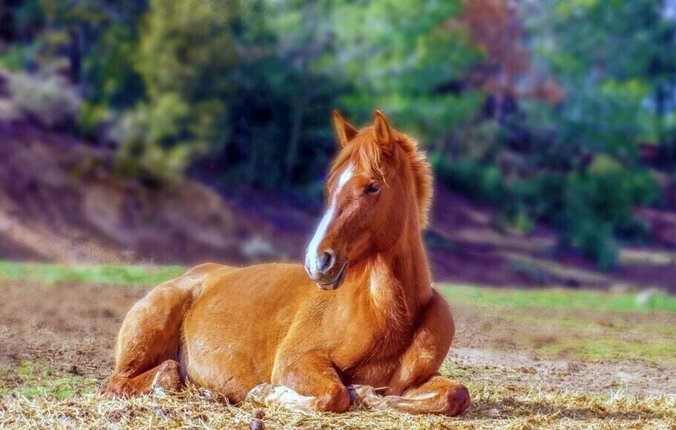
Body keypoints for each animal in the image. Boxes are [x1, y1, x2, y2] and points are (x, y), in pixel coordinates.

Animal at [105, 111, 470, 416]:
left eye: (372, 186)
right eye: (331, 185)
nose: (318, 260)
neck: (388, 313)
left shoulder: (416, 380)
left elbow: (455, 394)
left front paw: (369, 394)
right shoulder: (297, 362)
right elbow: (335, 395)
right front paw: (266, 394)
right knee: (131, 380)